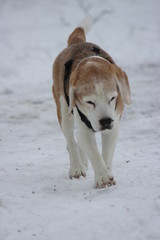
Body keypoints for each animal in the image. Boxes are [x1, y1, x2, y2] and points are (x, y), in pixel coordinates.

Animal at [52, 18, 131, 188]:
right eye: (89, 102)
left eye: (112, 98)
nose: (106, 121)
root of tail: (76, 43)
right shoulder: (84, 129)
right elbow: (93, 152)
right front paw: (103, 177)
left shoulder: (113, 126)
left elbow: (105, 154)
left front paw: (106, 171)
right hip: (63, 110)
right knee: (71, 140)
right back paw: (76, 167)